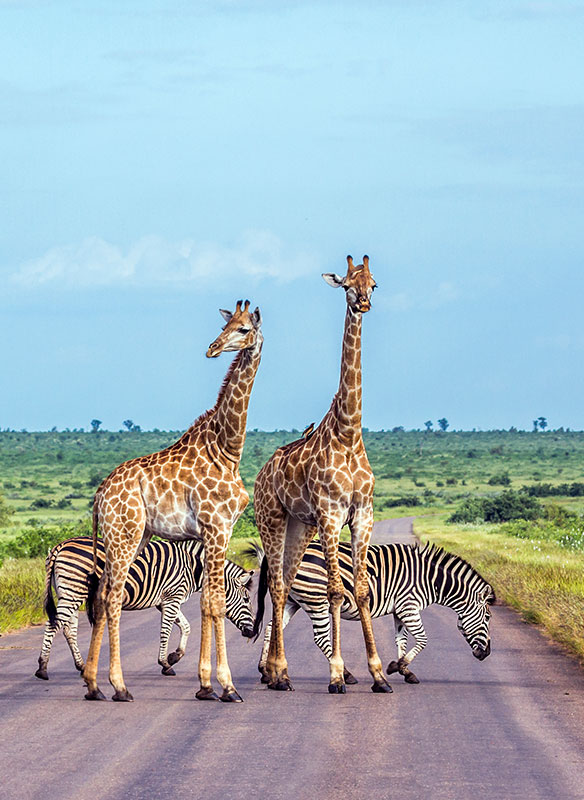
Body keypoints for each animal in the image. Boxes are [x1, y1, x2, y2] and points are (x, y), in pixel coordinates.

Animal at [35, 536, 254, 680]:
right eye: (246, 599)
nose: (252, 633)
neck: (193, 568)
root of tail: (60, 546)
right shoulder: (172, 597)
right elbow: (166, 630)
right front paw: (165, 663)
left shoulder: (165, 601)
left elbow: (186, 627)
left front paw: (174, 657)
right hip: (74, 590)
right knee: (53, 625)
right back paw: (42, 668)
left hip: (69, 592)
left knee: (68, 629)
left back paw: (81, 666)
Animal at [81, 298, 262, 700]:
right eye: (227, 326)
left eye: (244, 329)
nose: (212, 348)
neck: (228, 449)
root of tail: (100, 495)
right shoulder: (218, 528)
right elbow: (215, 602)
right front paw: (226, 686)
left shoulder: (214, 533)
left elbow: (207, 603)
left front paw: (205, 685)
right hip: (125, 534)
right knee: (112, 597)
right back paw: (119, 686)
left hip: (133, 536)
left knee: (100, 595)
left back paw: (93, 684)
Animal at [253, 255, 390, 692]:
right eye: (347, 284)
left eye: (373, 283)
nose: (363, 303)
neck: (348, 433)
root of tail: (261, 474)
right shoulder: (331, 513)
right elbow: (334, 591)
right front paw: (336, 675)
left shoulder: (362, 513)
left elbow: (360, 591)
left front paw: (379, 673)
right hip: (273, 519)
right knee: (278, 586)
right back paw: (279, 672)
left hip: (301, 526)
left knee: (283, 585)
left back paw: (277, 672)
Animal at [253, 536, 496, 680]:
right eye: (487, 617)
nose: (486, 654)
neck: (429, 579)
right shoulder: (409, 605)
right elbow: (423, 639)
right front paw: (397, 666)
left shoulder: (400, 609)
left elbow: (401, 639)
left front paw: (404, 670)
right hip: (316, 599)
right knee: (320, 638)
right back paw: (346, 674)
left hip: (292, 600)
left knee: (271, 628)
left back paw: (264, 670)